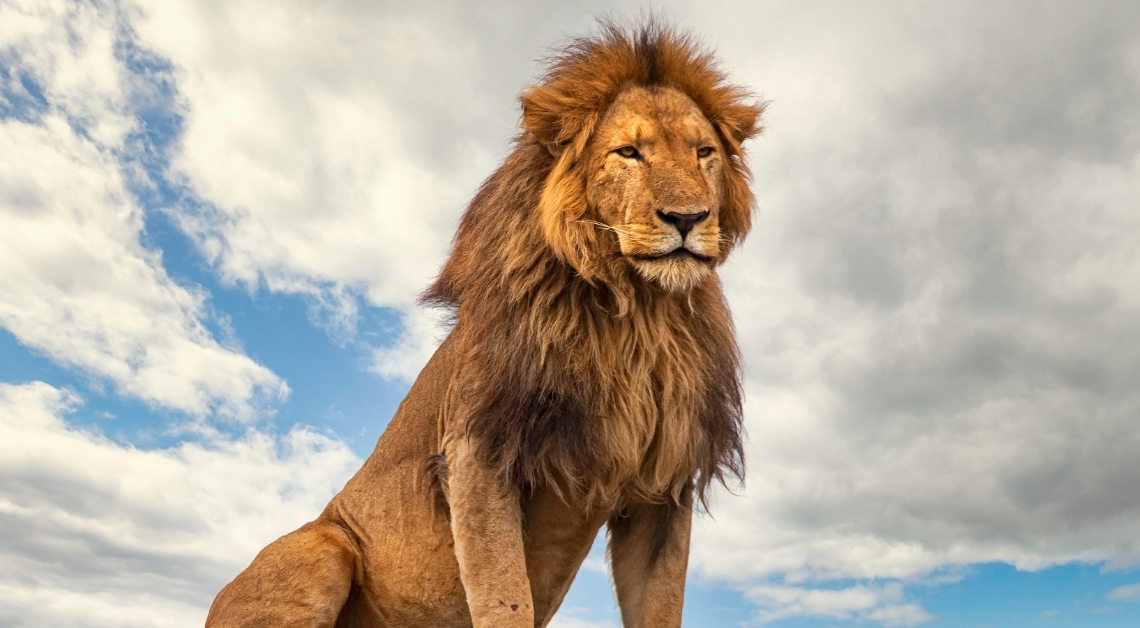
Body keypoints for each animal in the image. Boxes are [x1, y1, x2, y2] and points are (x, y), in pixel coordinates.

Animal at [206, 21, 764, 628]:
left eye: (704, 153)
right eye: (629, 153)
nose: (688, 218)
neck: (637, 314)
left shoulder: (663, 487)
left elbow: (660, 606)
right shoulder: (478, 454)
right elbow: (504, 597)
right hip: (321, 548)